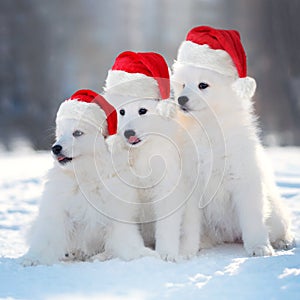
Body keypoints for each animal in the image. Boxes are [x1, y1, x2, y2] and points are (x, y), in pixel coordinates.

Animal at [22, 89, 156, 264]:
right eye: (60, 134)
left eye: (77, 133)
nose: (55, 148)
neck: (85, 177)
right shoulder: (59, 213)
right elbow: (49, 238)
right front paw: (33, 259)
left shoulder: (117, 217)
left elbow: (126, 242)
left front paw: (142, 254)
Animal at [169, 25, 296, 256]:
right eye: (183, 85)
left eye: (203, 85)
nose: (182, 99)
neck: (208, 129)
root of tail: (228, 236)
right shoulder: (191, 184)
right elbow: (189, 224)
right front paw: (185, 251)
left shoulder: (244, 177)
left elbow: (253, 218)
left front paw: (259, 248)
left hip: (274, 212)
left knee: (279, 226)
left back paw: (283, 242)